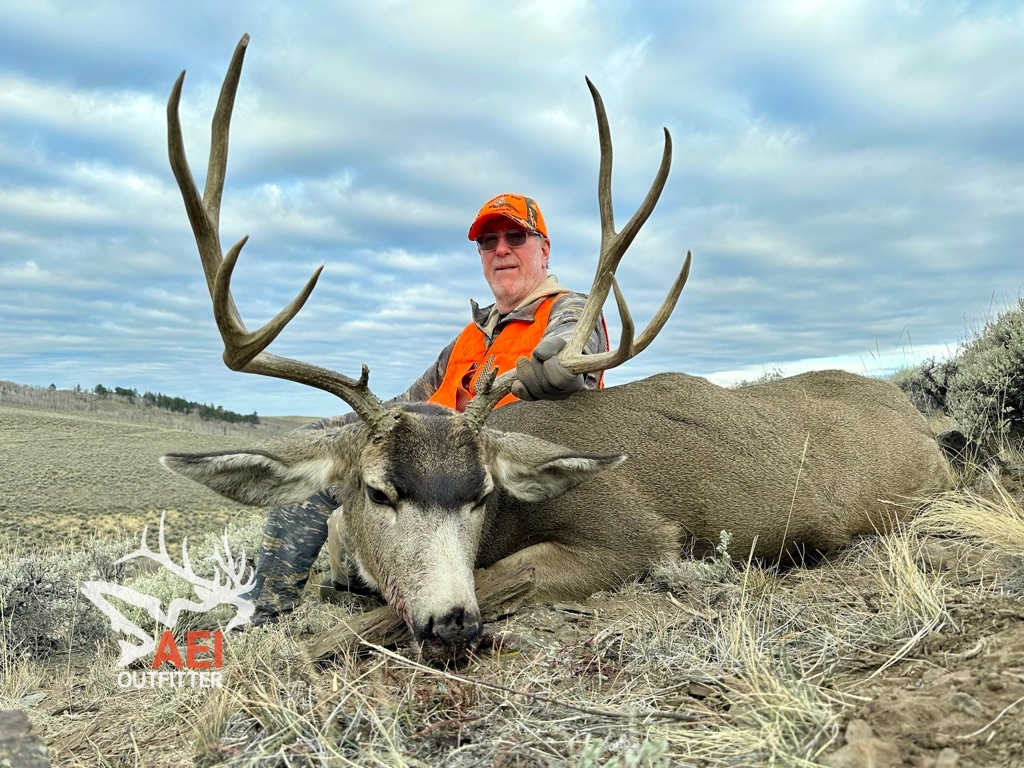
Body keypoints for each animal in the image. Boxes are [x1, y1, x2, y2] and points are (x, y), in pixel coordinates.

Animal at [159, 35, 951, 653]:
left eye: (482, 494)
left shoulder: (634, 537)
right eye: (379, 491)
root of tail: (923, 423)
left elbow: (459, 588)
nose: (452, 623)